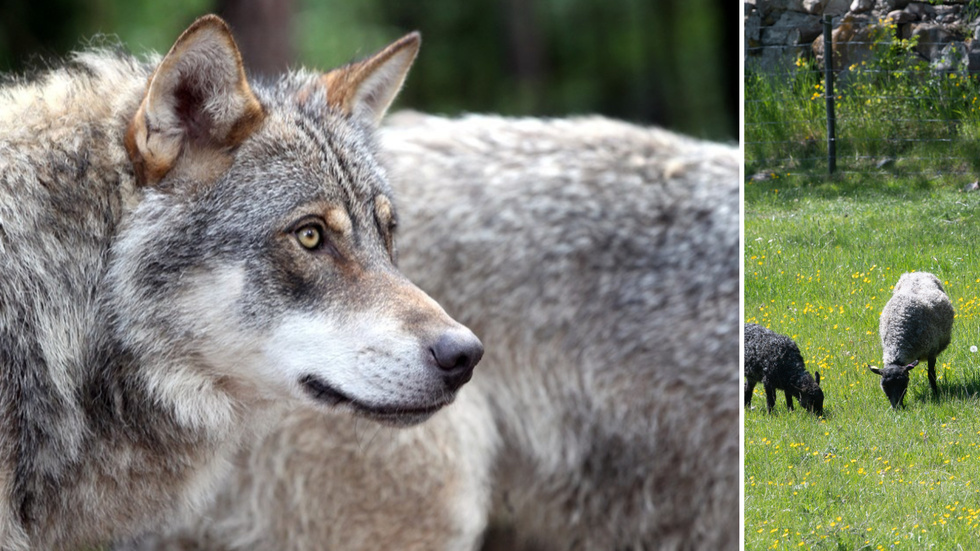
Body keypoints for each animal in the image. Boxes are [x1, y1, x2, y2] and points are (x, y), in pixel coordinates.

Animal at [868, 272, 952, 408]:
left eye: (904, 383)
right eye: (884, 386)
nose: (896, 408)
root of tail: (918, 272)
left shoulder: (932, 351)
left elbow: (931, 374)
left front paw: (935, 394)